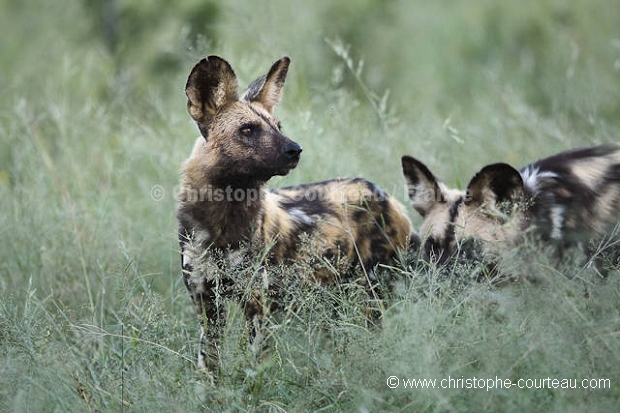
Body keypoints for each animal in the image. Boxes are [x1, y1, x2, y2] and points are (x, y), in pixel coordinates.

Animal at [177, 55, 414, 370]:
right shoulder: (206, 305)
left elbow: (256, 372)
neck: (221, 222)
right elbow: (209, 370)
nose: (295, 149)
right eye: (248, 129)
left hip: (370, 297)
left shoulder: (257, 305)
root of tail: (384, 194)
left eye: (278, 125)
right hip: (333, 302)